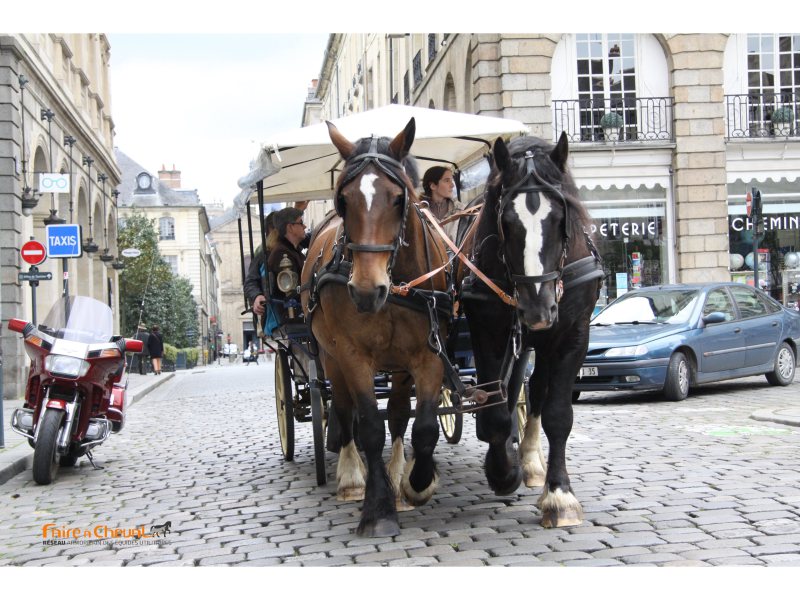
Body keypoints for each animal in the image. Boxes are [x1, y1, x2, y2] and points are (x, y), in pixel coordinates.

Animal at [300, 118, 450, 540]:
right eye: (343, 200)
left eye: (399, 199)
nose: (367, 291)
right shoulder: (352, 355)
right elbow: (368, 424)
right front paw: (377, 508)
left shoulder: (428, 353)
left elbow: (423, 426)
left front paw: (417, 483)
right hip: (329, 355)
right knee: (343, 407)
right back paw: (352, 477)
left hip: (398, 366)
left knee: (398, 413)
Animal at [456, 134, 600, 528]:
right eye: (507, 221)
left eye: (561, 217)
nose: (537, 309)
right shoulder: (486, 329)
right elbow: (494, 411)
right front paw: (502, 471)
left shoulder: (572, 336)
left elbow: (557, 415)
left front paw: (559, 494)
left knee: (533, 391)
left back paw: (533, 463)